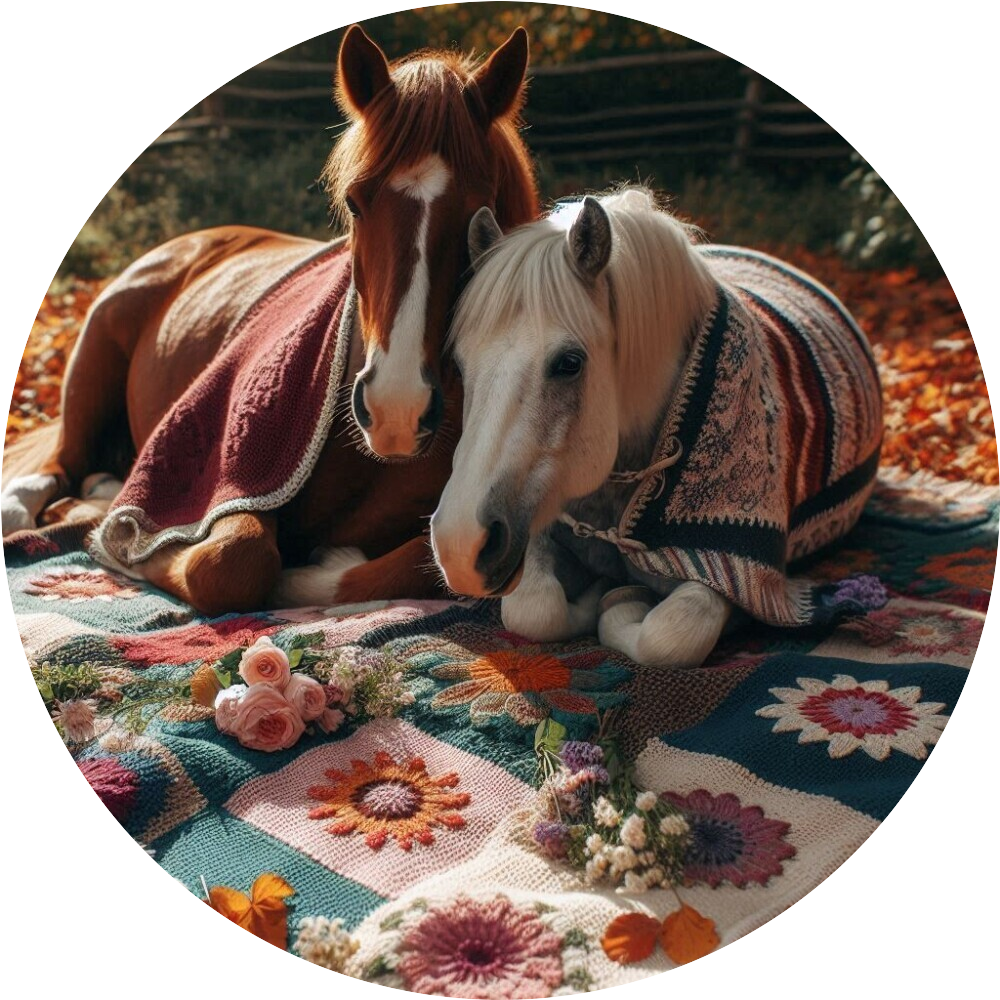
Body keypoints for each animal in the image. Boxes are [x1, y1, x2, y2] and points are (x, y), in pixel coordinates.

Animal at [3, 25, 540, 616]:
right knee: (54, 469)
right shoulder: (233, 479)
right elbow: (232, 562)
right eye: (355, 203)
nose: (396, 409)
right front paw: (126, 545)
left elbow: (428, 563)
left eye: (479, 209)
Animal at [430, 188, 884, 672]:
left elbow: (669, 634)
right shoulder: (536, 525)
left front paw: (619, 600)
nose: (460, 546)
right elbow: (535, 609)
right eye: (460, 364)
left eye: (570, 363)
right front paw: (593, 594)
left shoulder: (737, 574)